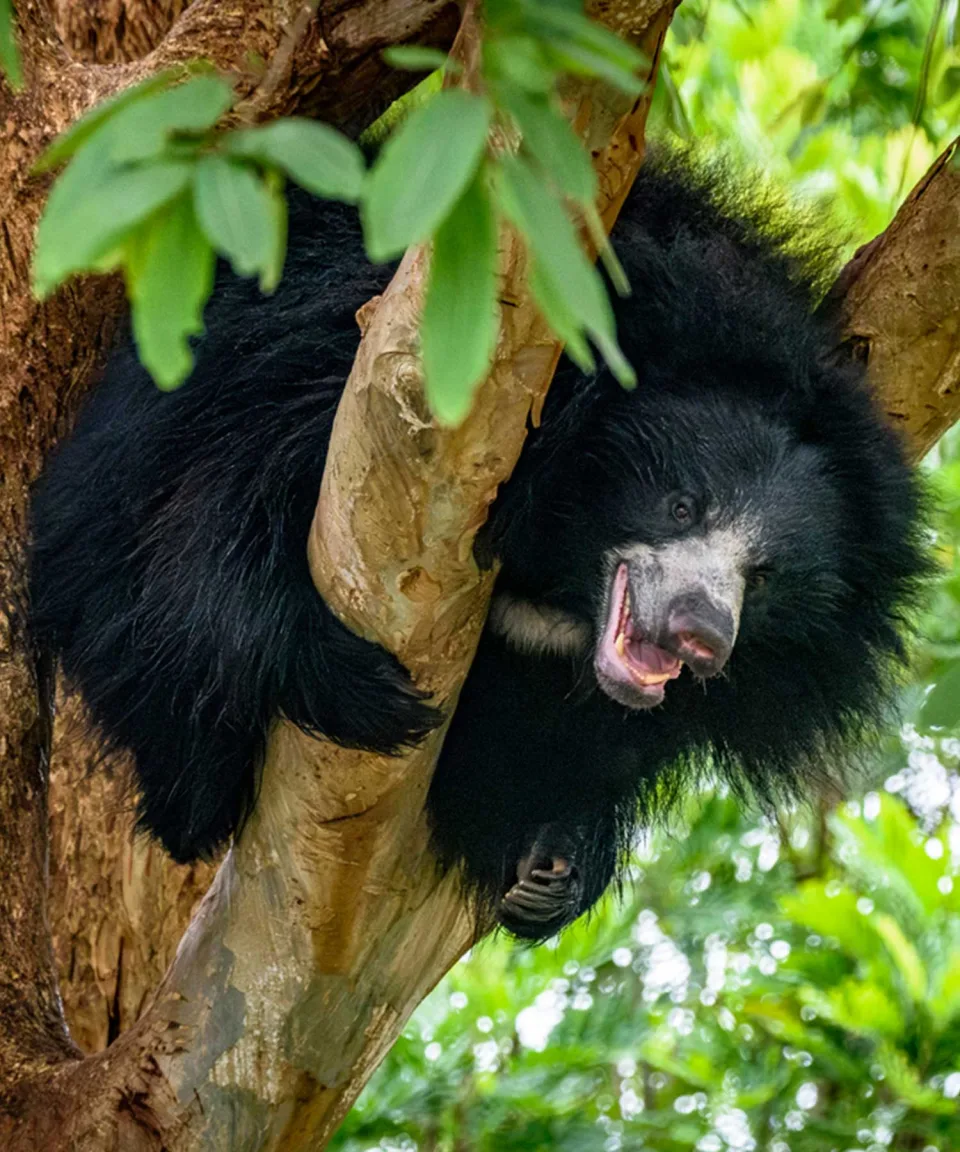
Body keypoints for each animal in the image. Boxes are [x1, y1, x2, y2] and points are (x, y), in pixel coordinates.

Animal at [28, 150, 928, 941]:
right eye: (681, 504)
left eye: (764, 576)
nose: (699, 633)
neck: (558, 556)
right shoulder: (345, 365)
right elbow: (215, 520)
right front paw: (355, 687)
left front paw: (556, 865)